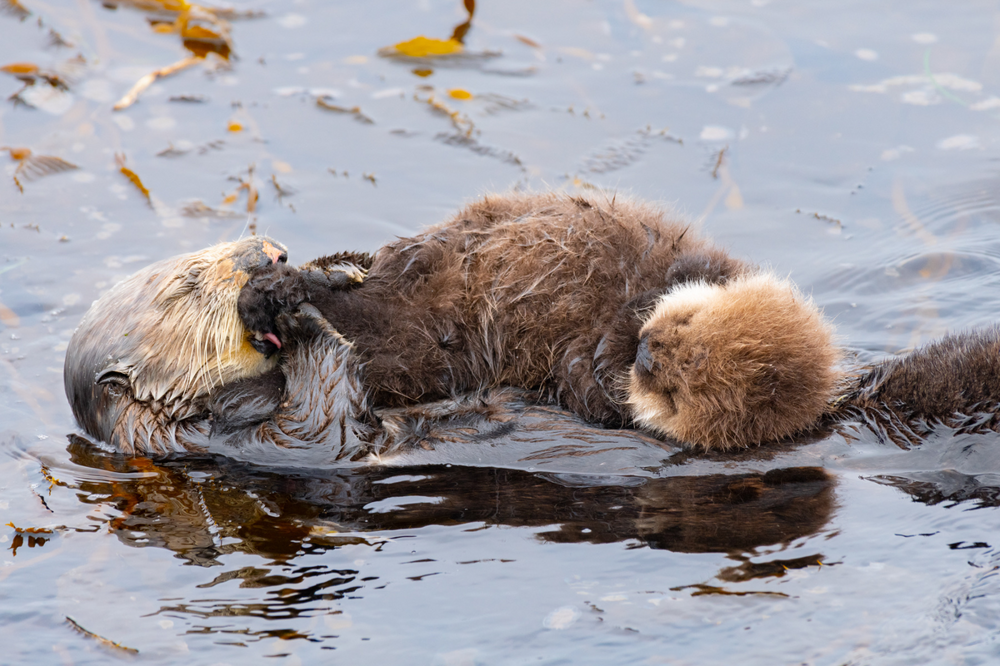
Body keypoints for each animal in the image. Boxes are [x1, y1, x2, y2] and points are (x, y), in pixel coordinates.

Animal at [60, 192, 1000, 460]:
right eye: (186, 282)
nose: (261, 251)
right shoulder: (226, 437)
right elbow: (324, 428)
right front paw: (288, 297)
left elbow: (328, 422)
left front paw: (310, 286)